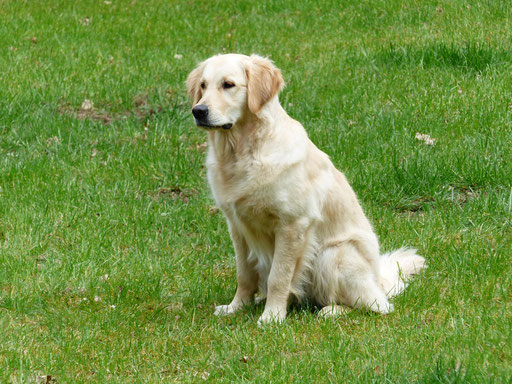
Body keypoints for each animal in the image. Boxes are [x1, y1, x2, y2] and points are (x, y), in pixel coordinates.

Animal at [186, 54, 426, 324]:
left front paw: (272, 317)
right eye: (203, 86)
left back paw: (332, 310)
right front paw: (236, 307)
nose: (198, 111)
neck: (242, 152)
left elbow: (279, 277)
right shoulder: (237, 226)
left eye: (228, 84)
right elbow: (244, 274)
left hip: (333, 254)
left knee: (375, 305)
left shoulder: (292, 224)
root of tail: (379, 280)